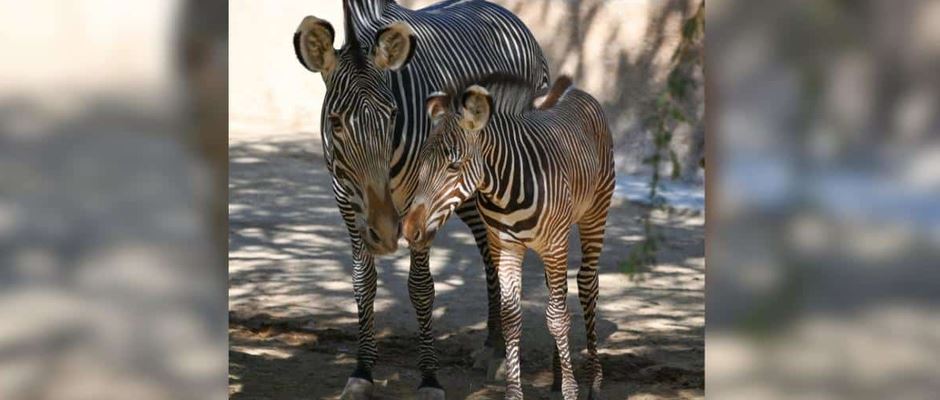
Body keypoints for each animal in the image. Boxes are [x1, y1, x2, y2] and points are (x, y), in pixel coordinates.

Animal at [292, 1, 549, 398]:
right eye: (335, 123)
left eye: (393, 115)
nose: (386, 232)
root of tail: (501, 11)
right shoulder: (347, 202)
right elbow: (363, 282)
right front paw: (362, 371)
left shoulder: (420, 199)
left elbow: (421, 288)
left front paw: (429, 377)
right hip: (470, 193)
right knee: (488, 250)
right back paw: (492, 347)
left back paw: (500, 353)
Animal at [401, 74, 615, 400]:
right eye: (422, 162)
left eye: (453, 165)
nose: (409, 230)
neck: (505, 190)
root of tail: (574, 90)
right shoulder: (505, 247)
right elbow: (513, 318)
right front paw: (514, 392)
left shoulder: (553, 245)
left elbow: (556, 319)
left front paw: (571, 391)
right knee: (561, 293)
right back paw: (555, 377)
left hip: (594, 214)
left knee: (587, 286)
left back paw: (592, 382)